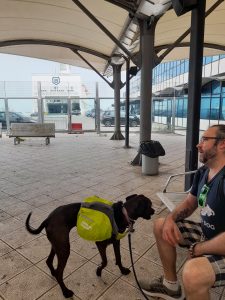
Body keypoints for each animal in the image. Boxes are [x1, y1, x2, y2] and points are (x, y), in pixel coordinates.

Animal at [25, 195, 155, 298]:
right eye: (149, 205)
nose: (154, 211)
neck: (123, 213)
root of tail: (48, 219)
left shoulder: (116, 242)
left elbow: (118, 257)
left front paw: (122, 270)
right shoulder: (100, 244)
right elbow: (105, 261)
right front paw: (98, 271)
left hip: (58, 245)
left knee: (49, 261)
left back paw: (53, 273)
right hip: (64, 249)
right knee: (59, 272)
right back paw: (66, 292)